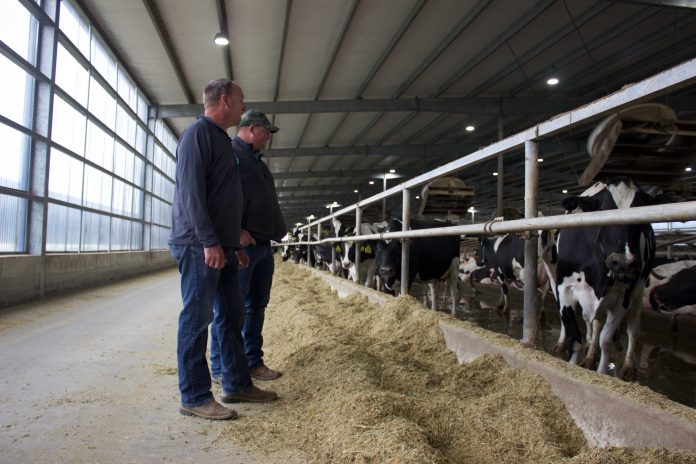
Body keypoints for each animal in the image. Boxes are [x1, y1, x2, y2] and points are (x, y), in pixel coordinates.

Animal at [552, 176, 660, 378]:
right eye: (604, 211)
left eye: (641, 216)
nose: (624, 262)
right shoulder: (564, 288)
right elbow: (574, 337)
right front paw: (573, 363)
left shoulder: (622, 300)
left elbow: (606, 342)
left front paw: (602, 373)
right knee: (596, 322)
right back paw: (589, 356)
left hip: (638, 291)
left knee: (633, 329)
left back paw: (628, 367)